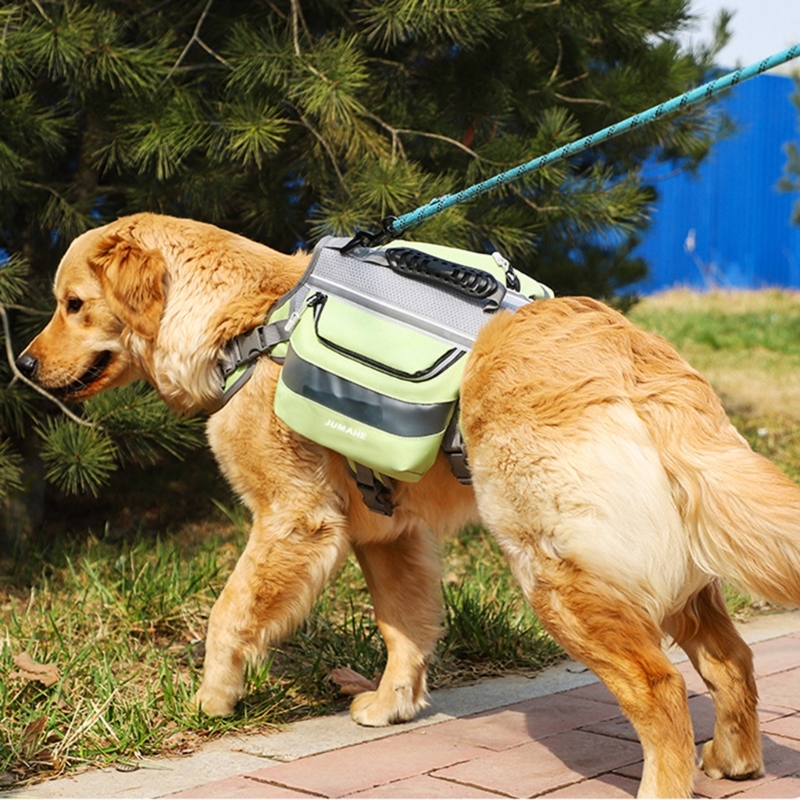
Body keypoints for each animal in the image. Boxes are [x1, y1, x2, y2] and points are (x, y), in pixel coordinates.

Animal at [15, 212, 800, 792]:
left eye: (73, 305)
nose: (21, 362)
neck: (251, 323)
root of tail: (641, 361)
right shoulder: (389, 536)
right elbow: (404, 628)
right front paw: (393, 704)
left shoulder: (293, 517)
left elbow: (229, 614)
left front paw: (214, 701)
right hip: (662, 570)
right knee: (733, 658)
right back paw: (734, 760)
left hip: (561, 573)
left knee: (660, 687)